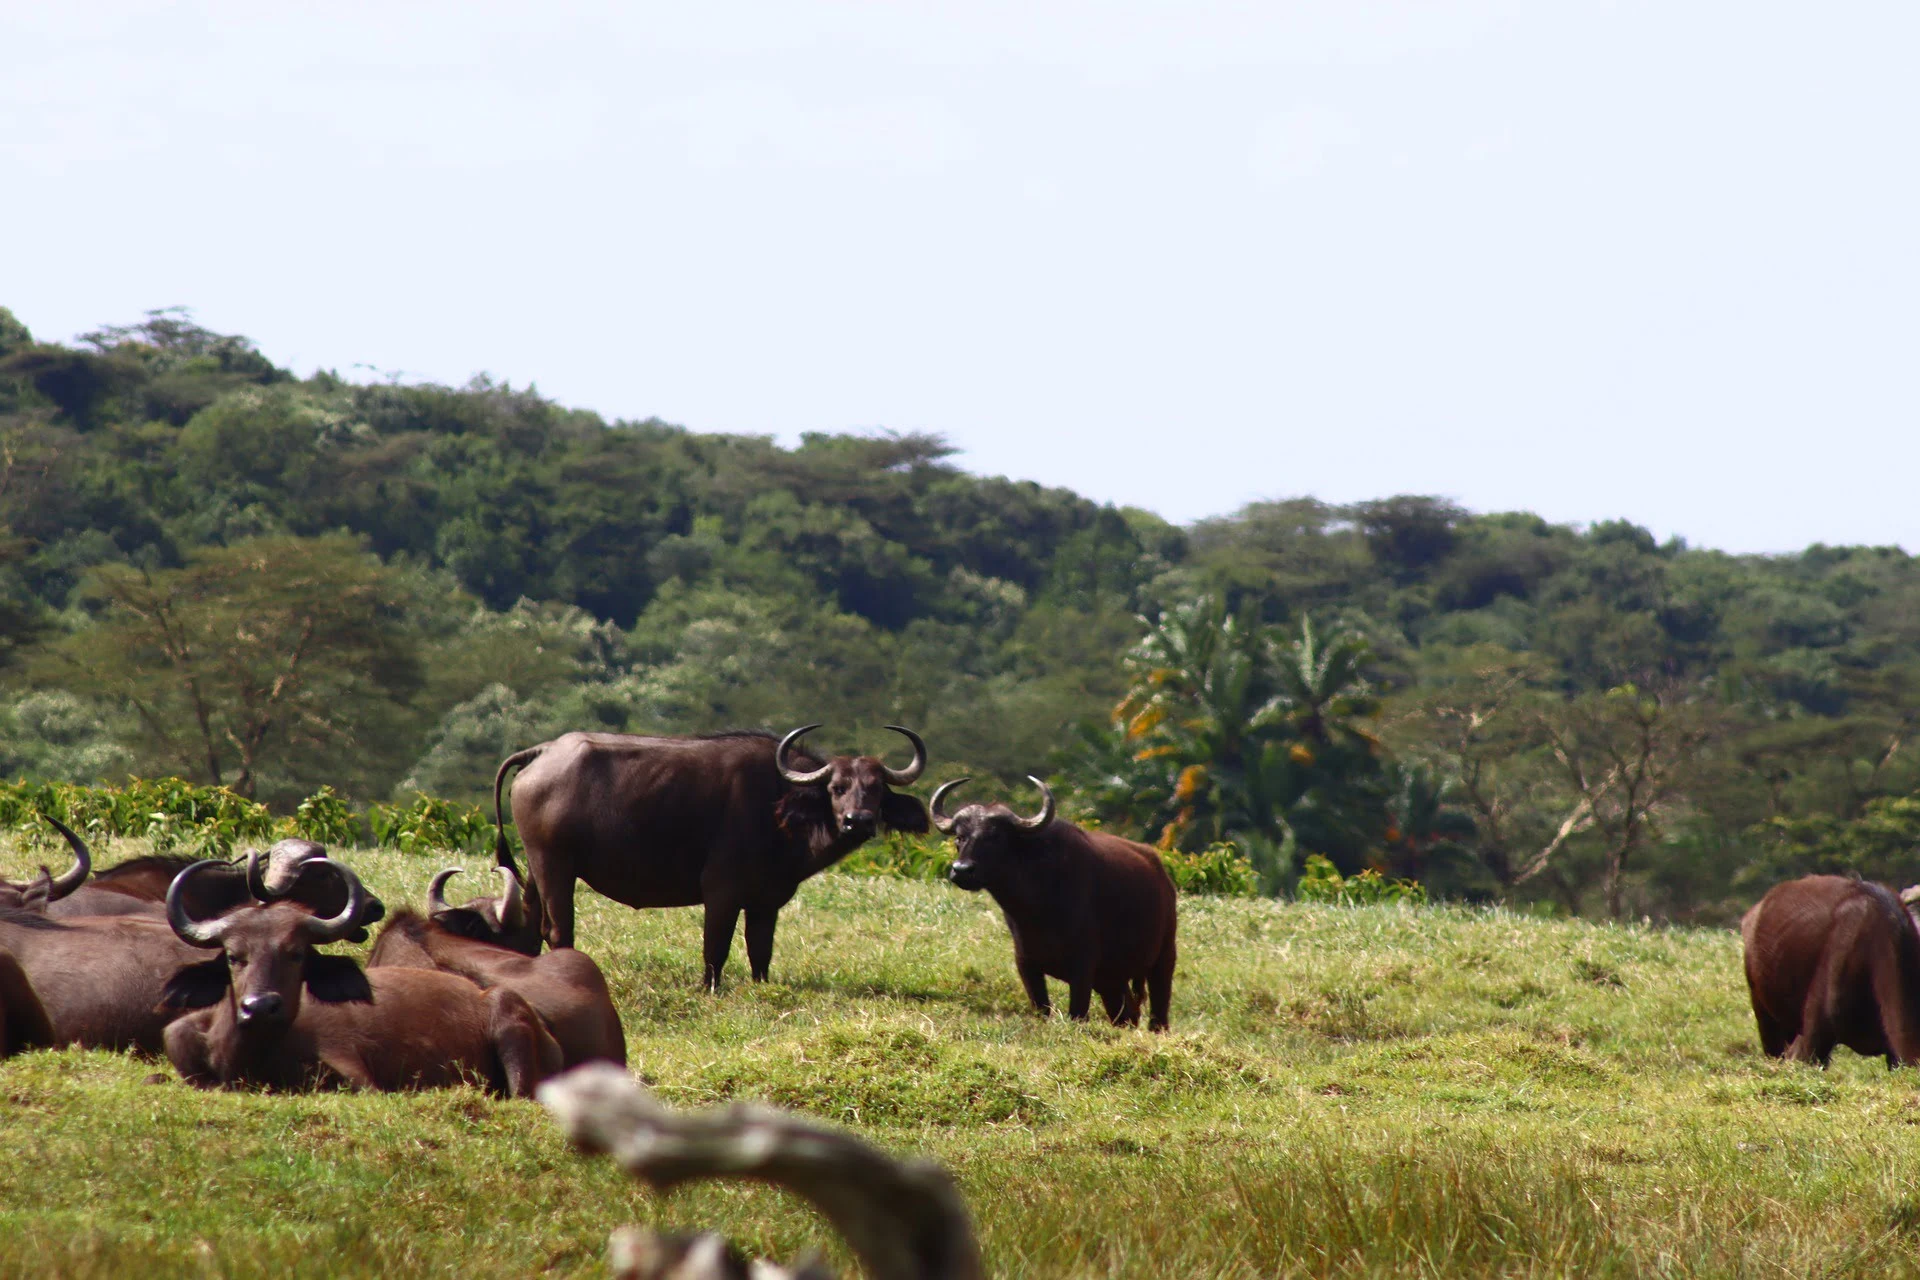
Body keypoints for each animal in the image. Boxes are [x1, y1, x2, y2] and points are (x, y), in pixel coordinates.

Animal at [494, 724, 930, 988]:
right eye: (837, 788)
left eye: (876, 789)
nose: (859, 821)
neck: (776, 805)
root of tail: (543, 752)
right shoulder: (722, 891)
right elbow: (715, 946)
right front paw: (710, 988)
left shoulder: (767, 900)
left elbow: (760, 949)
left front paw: (760, 984)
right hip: (555, 864)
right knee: (558, 929)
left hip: (536, 867)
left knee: (532, 921)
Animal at [933, 776, 1177, 1031]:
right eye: (959, 837)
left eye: (995, 837)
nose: (962, 870)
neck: (1037, 910)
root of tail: (1163, 876)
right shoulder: (1027, 965)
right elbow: (1042, 1008)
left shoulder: (1083, 966)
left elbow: (1077, 1012)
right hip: (1111, 978)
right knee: (1126, 1013)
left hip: (1164, 957)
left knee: (1159, 1008)